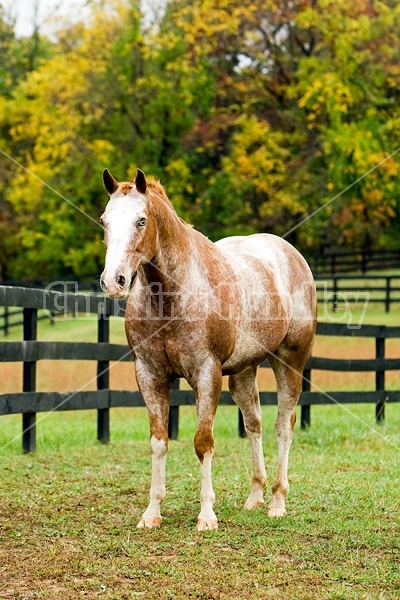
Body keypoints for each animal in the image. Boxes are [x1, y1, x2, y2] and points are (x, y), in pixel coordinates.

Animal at [99, 168, 316, 528]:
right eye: (105, 221)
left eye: (141, 221)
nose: (113, 281)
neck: (171, 297)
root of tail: (292, 255)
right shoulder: (149, 375)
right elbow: (159, 442)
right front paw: (152, 513)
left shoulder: (206, 374)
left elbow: (203, 443)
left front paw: (206, 516)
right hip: (244, 371)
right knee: (254, 422)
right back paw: (255, 496)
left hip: (290, 361)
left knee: (283, 425)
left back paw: (277, 501)